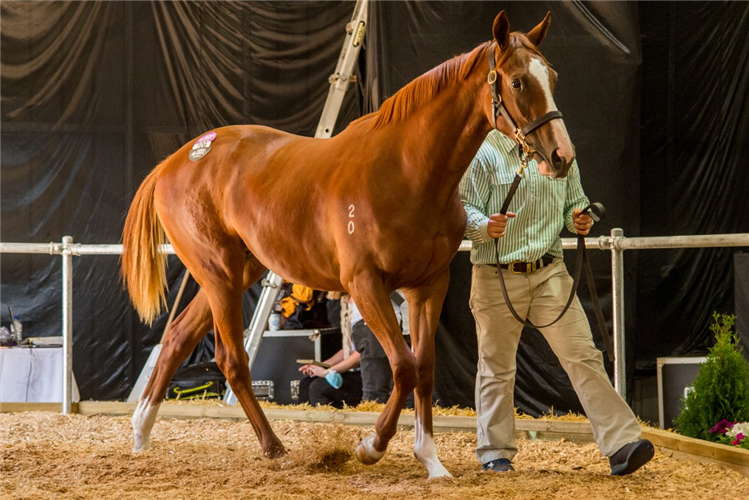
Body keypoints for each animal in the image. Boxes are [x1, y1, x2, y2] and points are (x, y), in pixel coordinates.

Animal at [121, 10, 572, 476]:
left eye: (552, 76)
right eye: (517, 81)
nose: (561, 156)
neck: (406, 171)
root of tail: (174, 162)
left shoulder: (428, 286)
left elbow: (425, 369)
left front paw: (431, 461)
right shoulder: (365, 285)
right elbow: (404, 367)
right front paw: (370, 446)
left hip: (235, 272)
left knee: (176, 338)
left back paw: (141, 434)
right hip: (218, 273)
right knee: (232, 359)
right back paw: (274, 448)